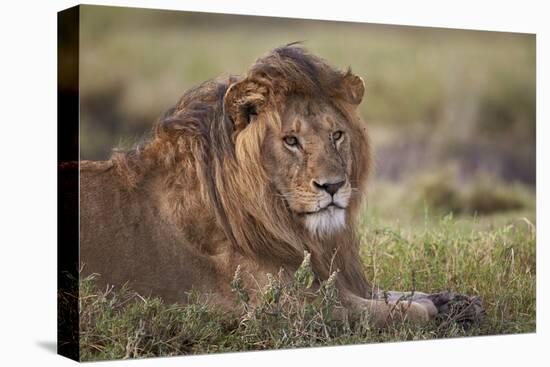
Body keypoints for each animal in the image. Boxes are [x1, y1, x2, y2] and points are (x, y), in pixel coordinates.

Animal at [74, 44, 484, 330]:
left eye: (337, 135)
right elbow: (395, 312)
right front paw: (430, 309)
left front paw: (456, 301)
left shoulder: (332, 277)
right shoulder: (286, 306)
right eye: (291, 141)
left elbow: (393, 293)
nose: (333, 186)